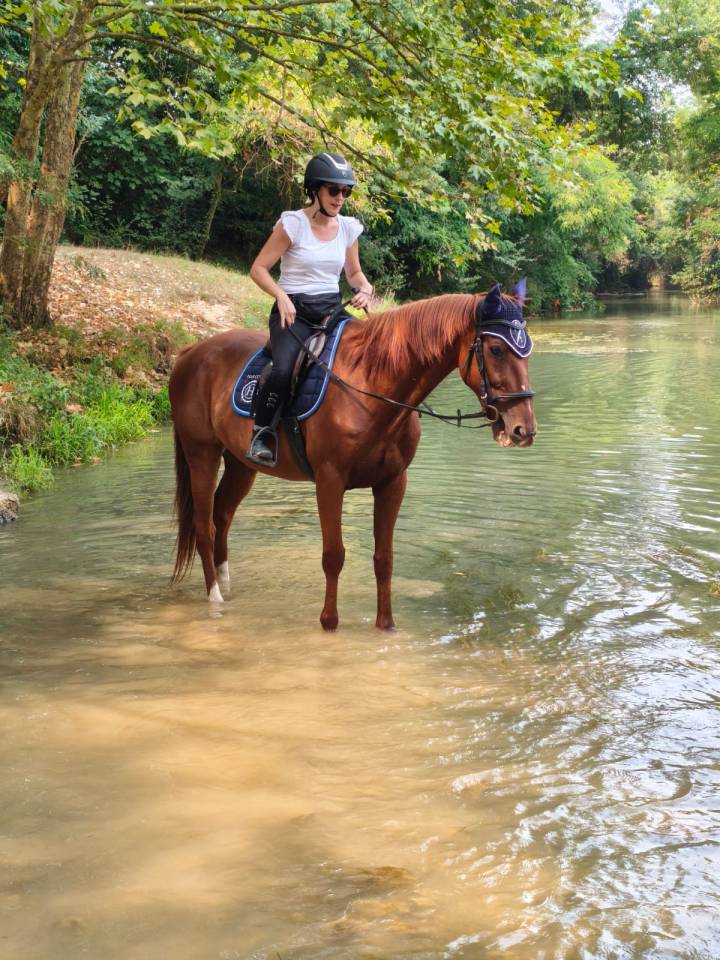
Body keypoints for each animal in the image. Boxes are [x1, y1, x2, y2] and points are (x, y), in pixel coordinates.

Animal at [169, 288, 536, 630]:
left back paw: (227, 587)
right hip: (201, 453)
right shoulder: (329, 481)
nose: (524, 429)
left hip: (241, 464)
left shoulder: (392, 483)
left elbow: (384, 558)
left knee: (222, 515)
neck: (371, 385)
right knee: (204, 525)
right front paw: (329, 623)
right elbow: (334, 555)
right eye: (496, 349)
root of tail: (190, 353)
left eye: (527, 352)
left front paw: (385, 625)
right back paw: (215, 597)